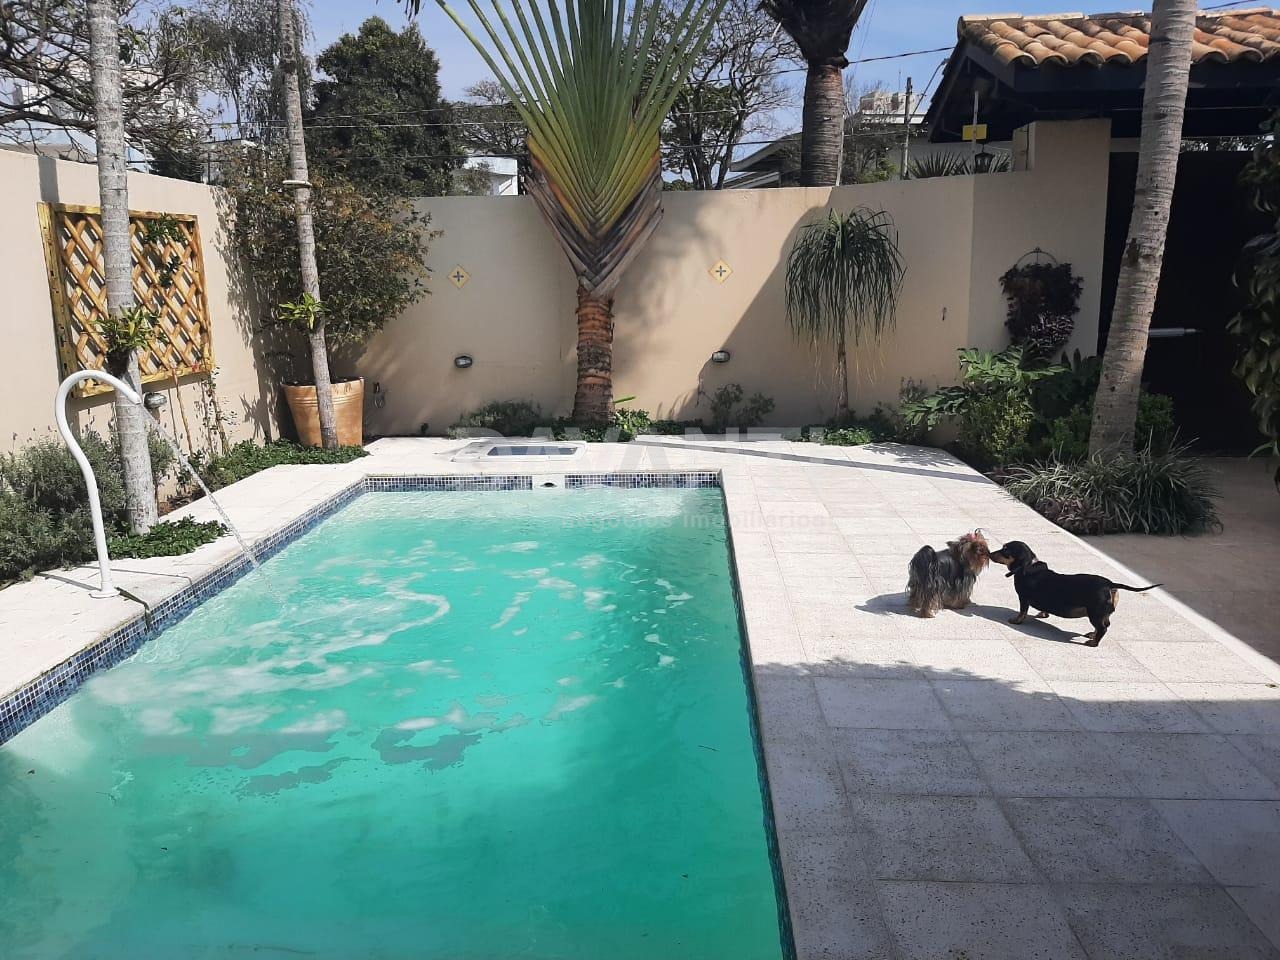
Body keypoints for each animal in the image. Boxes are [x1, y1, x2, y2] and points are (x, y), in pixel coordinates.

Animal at [988, 540, 1161, 646]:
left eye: (1005, 550)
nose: (989, 553)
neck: (1028, 565)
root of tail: (1109, 584)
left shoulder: (1023, 598)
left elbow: (1022, 611)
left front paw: (1016, 620)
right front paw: (1043, 614)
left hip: (1095, 613)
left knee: (1103, 628)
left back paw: (1093, 643)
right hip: (1102, 613)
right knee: (1104, 625)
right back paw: (1092, 635)